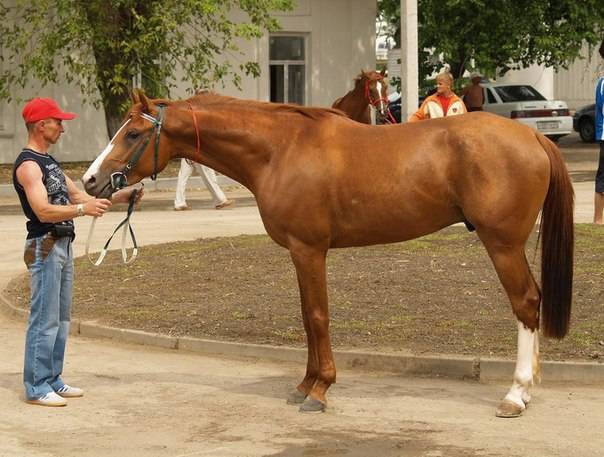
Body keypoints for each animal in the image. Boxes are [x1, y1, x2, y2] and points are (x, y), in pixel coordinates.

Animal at [82, 91, 572, 418]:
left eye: (134, 133)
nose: (90, 181)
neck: (279, 149)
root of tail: (533, 137)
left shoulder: (309, 250)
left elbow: (317, 316)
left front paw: (320, 391)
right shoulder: (300, 254)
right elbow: (305, 317)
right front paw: (304, 384)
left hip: (502, 244)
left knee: (526, 303)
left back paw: (516, 394)